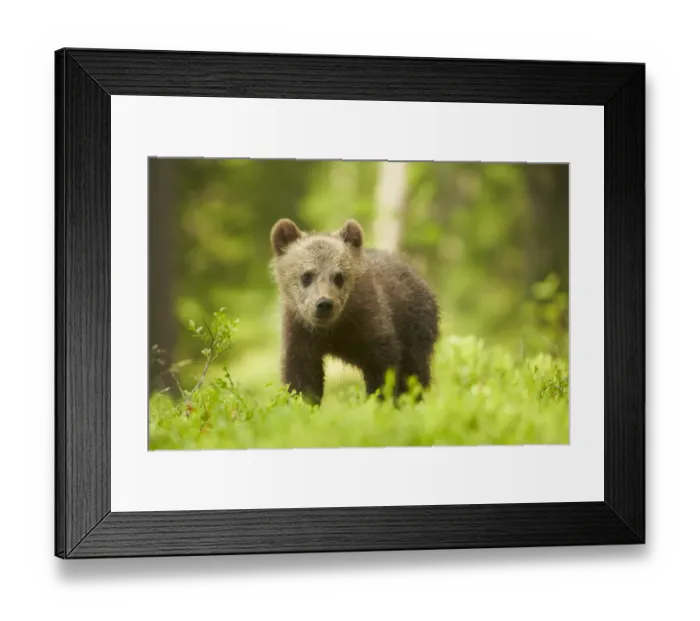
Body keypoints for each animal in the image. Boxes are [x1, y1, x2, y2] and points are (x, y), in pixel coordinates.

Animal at [269, 217, 439, 405]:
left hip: (415, 325)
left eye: (339, 276)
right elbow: (302, 374)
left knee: (415, 370)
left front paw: (381, 400)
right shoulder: (300, 330)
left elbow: (384, 368)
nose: (324, 304)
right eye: (307, 275)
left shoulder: (370, 322)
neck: (334, 329)